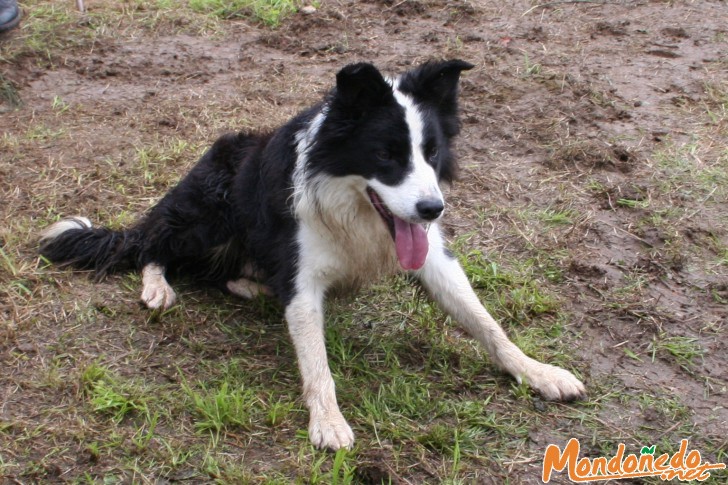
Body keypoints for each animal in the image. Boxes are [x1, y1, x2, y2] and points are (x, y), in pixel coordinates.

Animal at [39, 59, 584, 450]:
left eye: (431, 153)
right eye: (385, 154)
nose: (433, 209)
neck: (354, 205)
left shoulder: (430, 256)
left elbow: (486, 322)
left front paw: (538, 372)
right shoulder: (303, 278)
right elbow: (317, 363)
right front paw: (329, 423)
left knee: (211, 270)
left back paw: (250, 283)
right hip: (209, 209)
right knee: (153, 244)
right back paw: (158, 287)